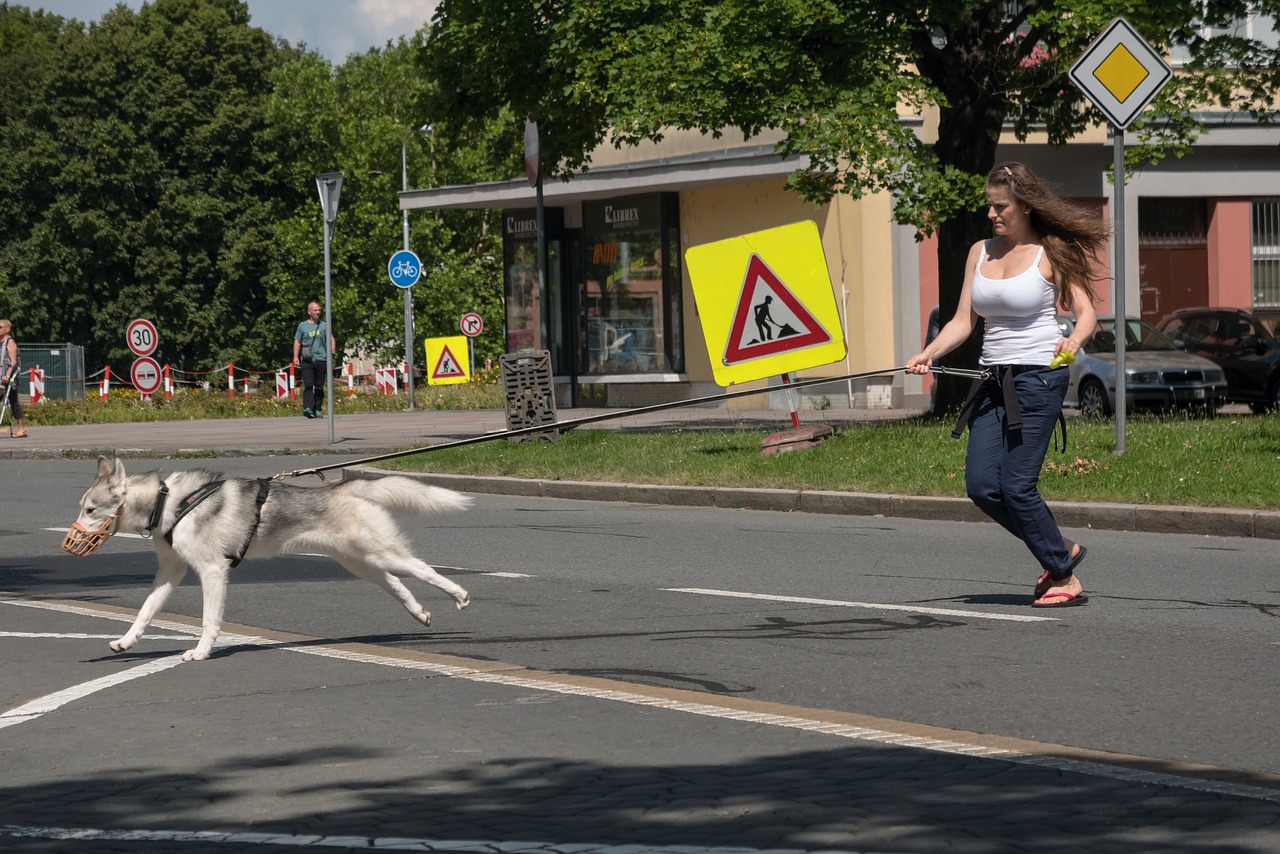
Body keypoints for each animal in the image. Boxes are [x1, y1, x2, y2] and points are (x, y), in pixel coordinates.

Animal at [63, 458, 471, 665]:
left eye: (90, 510)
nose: (68, 543)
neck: (170, 503)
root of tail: (342, 486)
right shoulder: (170, 573)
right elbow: (145, 613)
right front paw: (125, 642)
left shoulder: (212, 571)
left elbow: (209, 621)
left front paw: (201, 652)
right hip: (360, 564)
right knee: (397, 584)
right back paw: (420, 614)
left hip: (380, 554)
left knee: (422, 569)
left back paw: (459, 595)